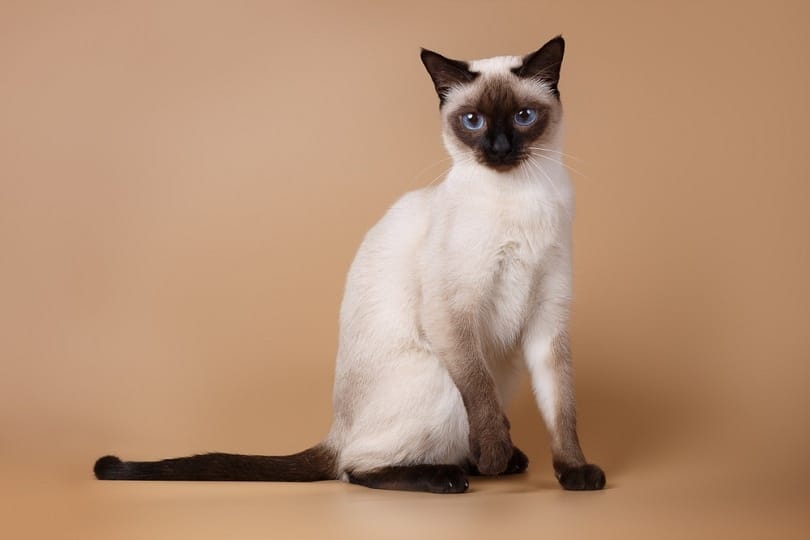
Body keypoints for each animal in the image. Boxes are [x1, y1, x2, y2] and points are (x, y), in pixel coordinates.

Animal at [94, 35, 604, 494]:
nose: (498, 149)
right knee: (355, 469)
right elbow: (481, 397)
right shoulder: (453, 312)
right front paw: (495, 454)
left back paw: (493, 462)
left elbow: (562, 410)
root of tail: (335, 432)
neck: (522, 196)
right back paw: (455, 474)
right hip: (438, 380)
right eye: (473, 121)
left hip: (506, 371)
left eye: (523, 117)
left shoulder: (547, 318)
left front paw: (575, 473)